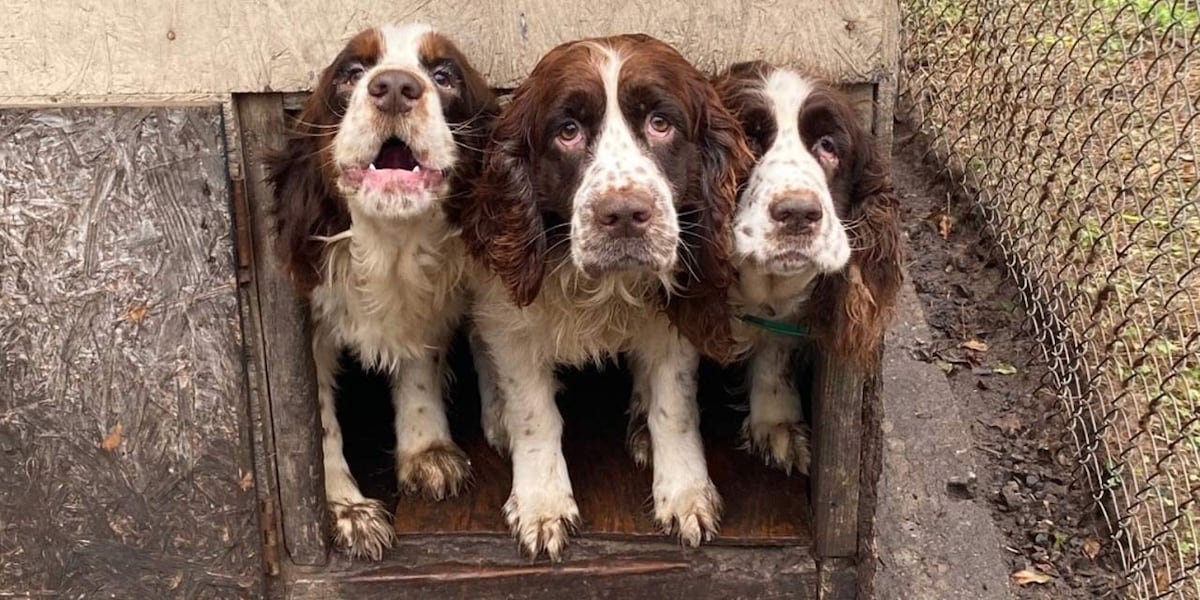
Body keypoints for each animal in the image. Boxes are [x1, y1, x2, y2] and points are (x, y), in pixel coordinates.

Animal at [266, 22, 496, 556]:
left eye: (444, 75)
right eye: (352, 72)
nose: (393, 87)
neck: (391, 244)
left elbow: (420, 369)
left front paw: (427, 450)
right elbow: (317, 418)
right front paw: (345, 510)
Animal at [451, 32, 748, 559]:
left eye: (660, 124)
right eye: (567, 131)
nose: (625, 214)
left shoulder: (674, 322)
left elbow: (674, 408)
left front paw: (685, 491)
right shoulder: (511, 318)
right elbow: (534, 412)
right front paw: (542, 501)